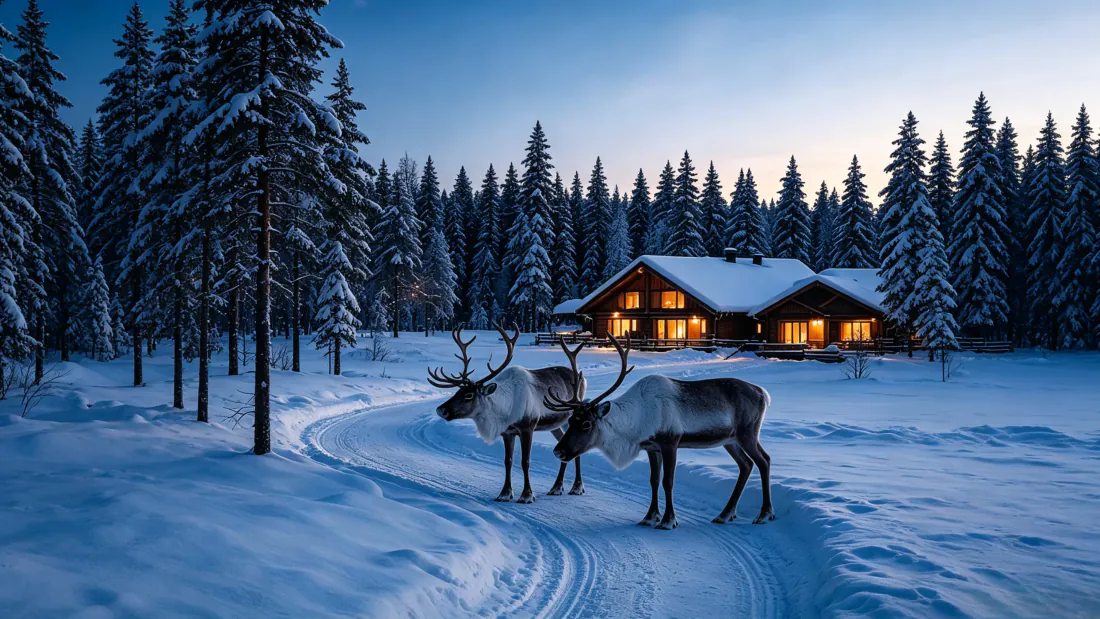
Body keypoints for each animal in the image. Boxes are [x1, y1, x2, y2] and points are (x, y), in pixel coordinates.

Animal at [428, 324, 587, 504]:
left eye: (469, 395)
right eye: (457, 391)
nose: (441, 409)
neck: (504, 410)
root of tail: (583, 378)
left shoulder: (528, 427)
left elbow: (525, 461)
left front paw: (526, 495)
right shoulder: (507, 432)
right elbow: (507, 461)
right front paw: (504, 493)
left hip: (571, 417)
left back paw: (577, 487)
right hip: (555, 424)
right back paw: (556, 488)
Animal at [545, 335, 774, 530]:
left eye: (586, 424)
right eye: (571, 420)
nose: (558, 451)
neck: (636, 421)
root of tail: (763, 393)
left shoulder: (670, 443)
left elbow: (668, 482)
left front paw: (668, 520)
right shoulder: (651, 447)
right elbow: (653, 481)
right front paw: (649, 517)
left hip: (747, 433)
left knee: (764, 460)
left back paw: (764, 514)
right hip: (730, 440)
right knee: (746, 465)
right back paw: (725, 514)